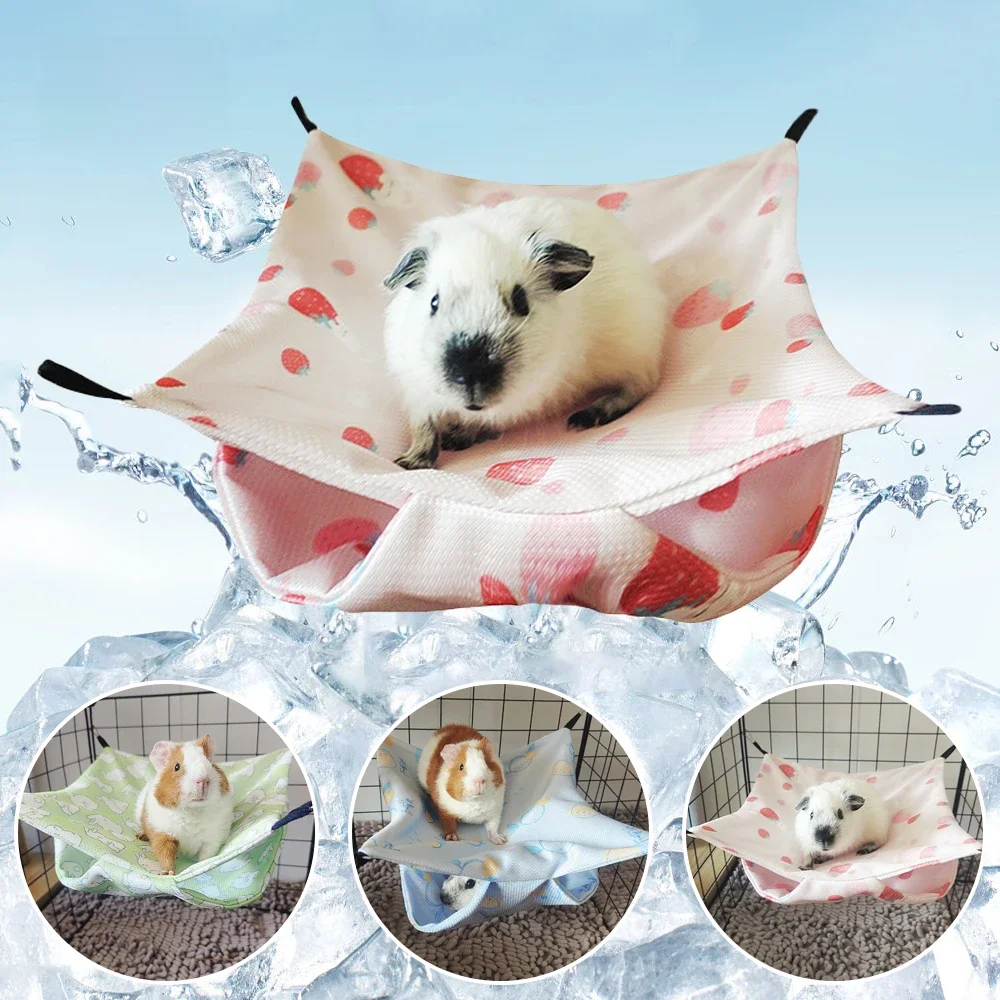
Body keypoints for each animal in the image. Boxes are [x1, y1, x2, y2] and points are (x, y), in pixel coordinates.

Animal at [135, 735, 234, 875]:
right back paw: (141, 836)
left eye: (209, 762)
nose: (202, 781)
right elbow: (165, 855)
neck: (193, 811)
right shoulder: (163, 834)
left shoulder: (213, 839)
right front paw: (167, 873)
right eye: (176, 767)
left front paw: (199, 866)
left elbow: (206, 855)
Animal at [383, 195, 667, 469]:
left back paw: (585, 417)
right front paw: (409, 463)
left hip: (634, 354)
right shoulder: (417, 392)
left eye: (521, 302)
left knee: (640, 386)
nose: (471, 373)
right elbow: (425, 428)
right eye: (434, 302)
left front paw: (456, 438)